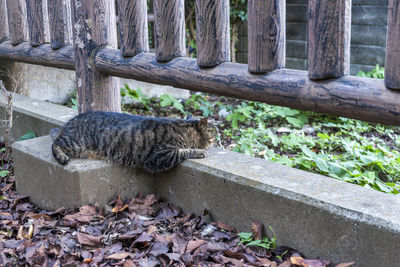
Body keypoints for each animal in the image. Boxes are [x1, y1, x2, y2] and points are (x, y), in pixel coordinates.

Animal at [50, 111, 216, 173]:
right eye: (213, 133)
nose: (217, 137)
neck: (183, 129)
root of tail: (69, 123)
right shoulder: (158, 157)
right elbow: (183, 151)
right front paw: (200, 152)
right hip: (74, 142)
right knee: (55, 144)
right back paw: (61, 156)